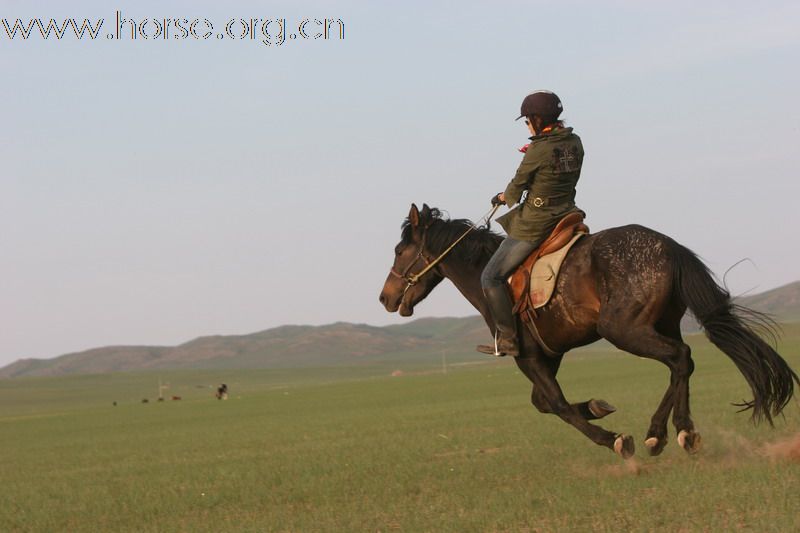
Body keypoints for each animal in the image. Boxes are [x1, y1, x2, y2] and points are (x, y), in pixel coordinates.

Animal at [378, 204, 796, 458]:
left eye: (399, 251)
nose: (385, 297)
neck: (487, 274)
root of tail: (668, 247)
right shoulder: (550, 354)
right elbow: (543, 403)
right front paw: (598, 406)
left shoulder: (527, 356)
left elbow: (559, 406)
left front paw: (614, 439)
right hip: (659, 325)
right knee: (682, 364)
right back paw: (658, 433)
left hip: (623, 330)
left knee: (680, 358)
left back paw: (680, 431)